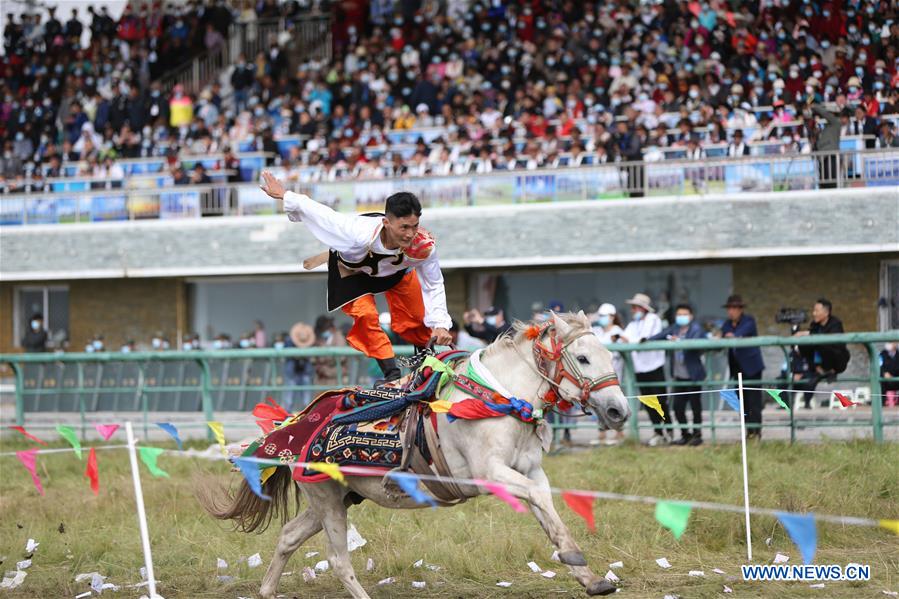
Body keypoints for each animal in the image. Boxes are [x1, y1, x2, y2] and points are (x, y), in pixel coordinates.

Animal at [200, 312, 628, 596]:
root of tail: (295, 424)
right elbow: (538, 498)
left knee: (289, 536)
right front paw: (578, 563)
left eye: (610, 355)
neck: (496, 398)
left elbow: (546, 505)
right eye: (583, 358)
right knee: (339, 560)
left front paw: (587, 575)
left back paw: (267, 591)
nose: (618, 411)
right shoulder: (489, 472)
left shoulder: (531, 471)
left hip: (338, 496)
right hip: (326, 498)